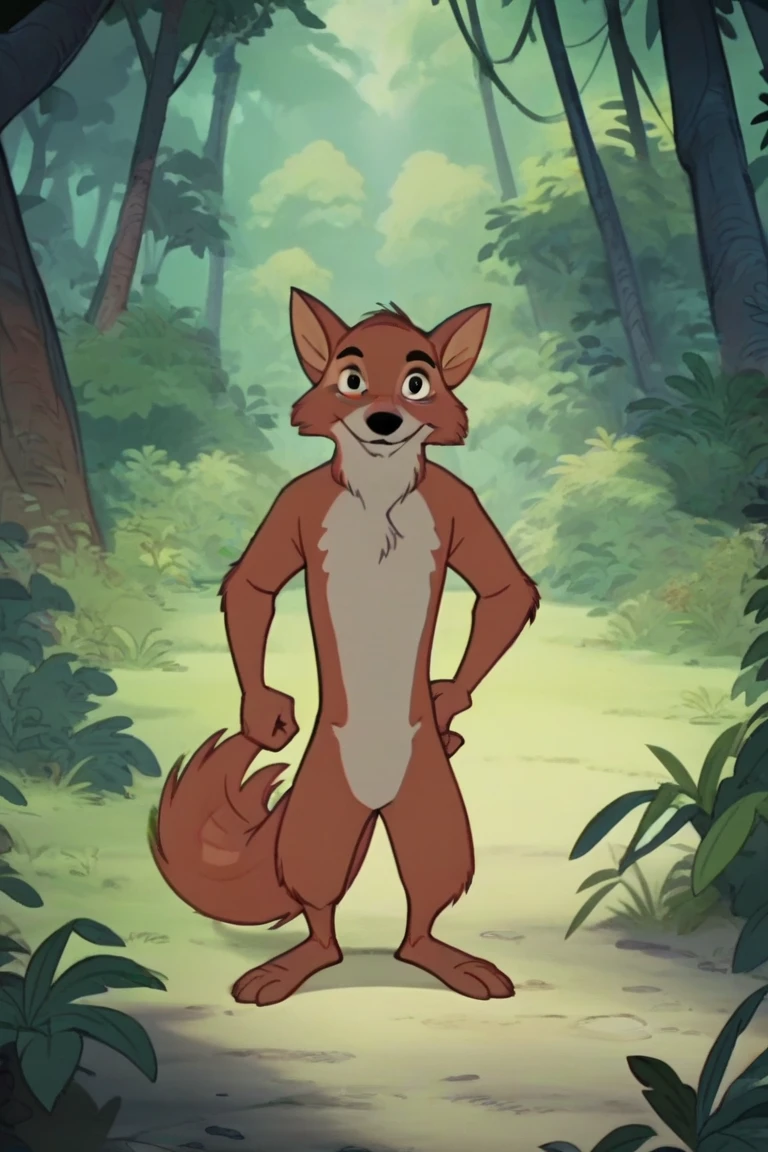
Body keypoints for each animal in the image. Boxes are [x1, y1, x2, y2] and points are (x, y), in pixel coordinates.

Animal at [150, 289, 540, 1006]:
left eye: (417, 383)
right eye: (352, 378)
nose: (384, 418)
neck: (380, 489)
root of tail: (375, 801)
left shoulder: (458, 502)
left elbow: (505, 587)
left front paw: (447, 698)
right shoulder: (296, 502)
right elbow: (253, 583)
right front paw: (263, 710)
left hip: (431, 799)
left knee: (431, 877)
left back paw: (439, 955)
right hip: (320, 806)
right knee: (318, 886)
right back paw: (300, 961)